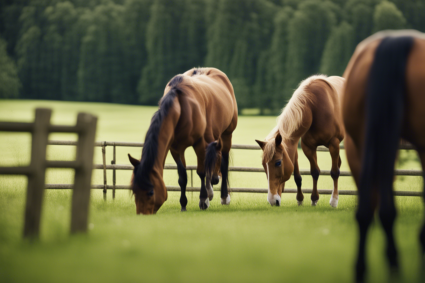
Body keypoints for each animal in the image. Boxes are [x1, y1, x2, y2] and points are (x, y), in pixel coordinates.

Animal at [127, 68, 237, 215]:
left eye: (151, 192)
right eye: (134, 191)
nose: (142, 214)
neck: (181, 107)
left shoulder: (199, 143)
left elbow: (201, 172)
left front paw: (203, 200)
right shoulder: (176, 149)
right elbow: (182, 177)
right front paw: (184, 204)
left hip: (226, 135)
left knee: (223, 164)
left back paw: (224, 196)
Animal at [255, 75, 344, 209]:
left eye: (278, 163)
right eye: (263, 165)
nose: (272, 200)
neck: (314, 108)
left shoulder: (334, 144)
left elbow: (334, 172)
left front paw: (334, 201)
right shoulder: (307, 147)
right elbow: (311, 173)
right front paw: (309, 199)